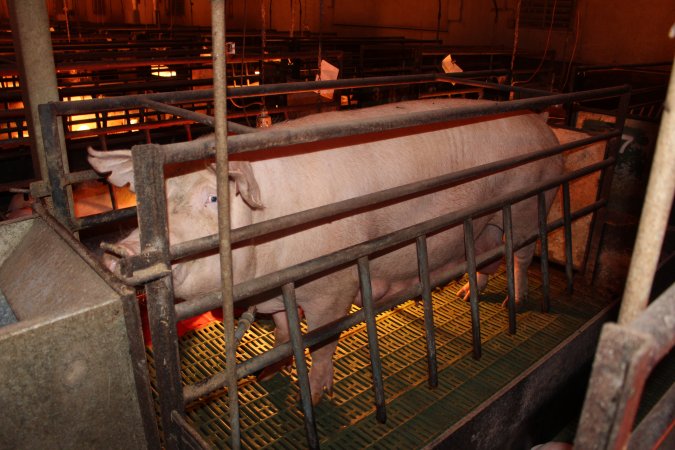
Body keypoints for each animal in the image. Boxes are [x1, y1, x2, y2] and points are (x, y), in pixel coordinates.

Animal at [90, 98, 564, 404]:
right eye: (152, 199)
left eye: (213, 198)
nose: (120, 252)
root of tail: (542, 124)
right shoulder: (278, 291)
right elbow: (284, 331)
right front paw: (271, 370)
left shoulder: (334, 285)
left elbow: (319, 342)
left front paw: (316, 397)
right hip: (482, 222)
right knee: (483, 256)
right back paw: (468, 295)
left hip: (528, 202)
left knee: (521, 254)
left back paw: (514, 303)